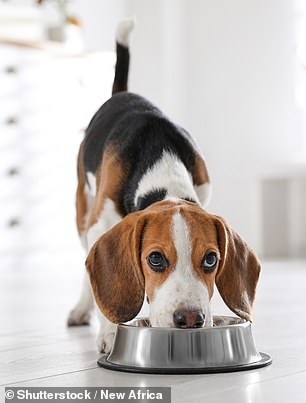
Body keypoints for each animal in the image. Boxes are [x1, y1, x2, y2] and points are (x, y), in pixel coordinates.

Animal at [67, 19, 260, 354]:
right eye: (155, 259)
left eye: (211, 259)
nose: (190, 319)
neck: (161, 163)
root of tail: (123, 93)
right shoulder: (99, 224)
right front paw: (110, 333)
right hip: (83, 212)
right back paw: (81, 308)